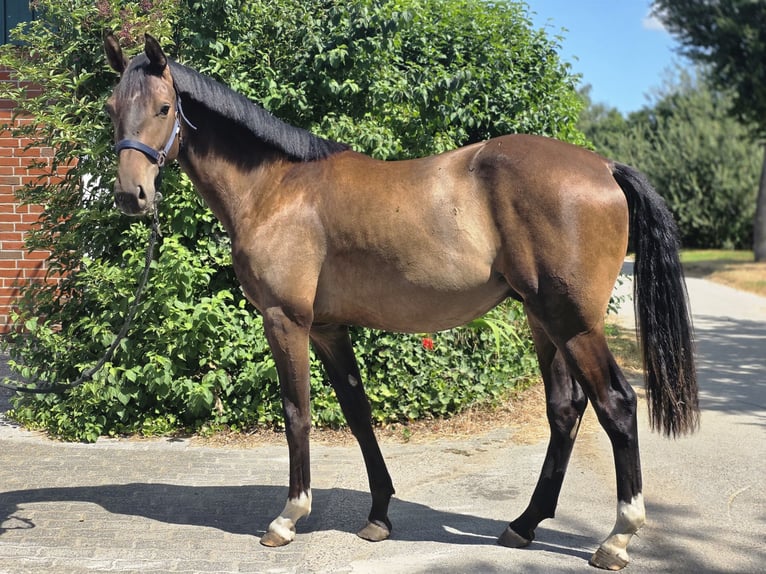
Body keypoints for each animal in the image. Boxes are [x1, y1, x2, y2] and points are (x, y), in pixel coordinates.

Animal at [103, 33, 698, 570]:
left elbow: (297, 413)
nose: (132, 195)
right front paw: (379, 515)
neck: (277, 189)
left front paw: (288, 518)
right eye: (112, 108)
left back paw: (616, 539)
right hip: (542, 320)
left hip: (572, 323)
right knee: (566, 409)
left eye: (163, 108)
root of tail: (604, 168)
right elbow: (357, 411)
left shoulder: (286, 321)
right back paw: (524, 525)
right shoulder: (328, 329)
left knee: (616, 405)